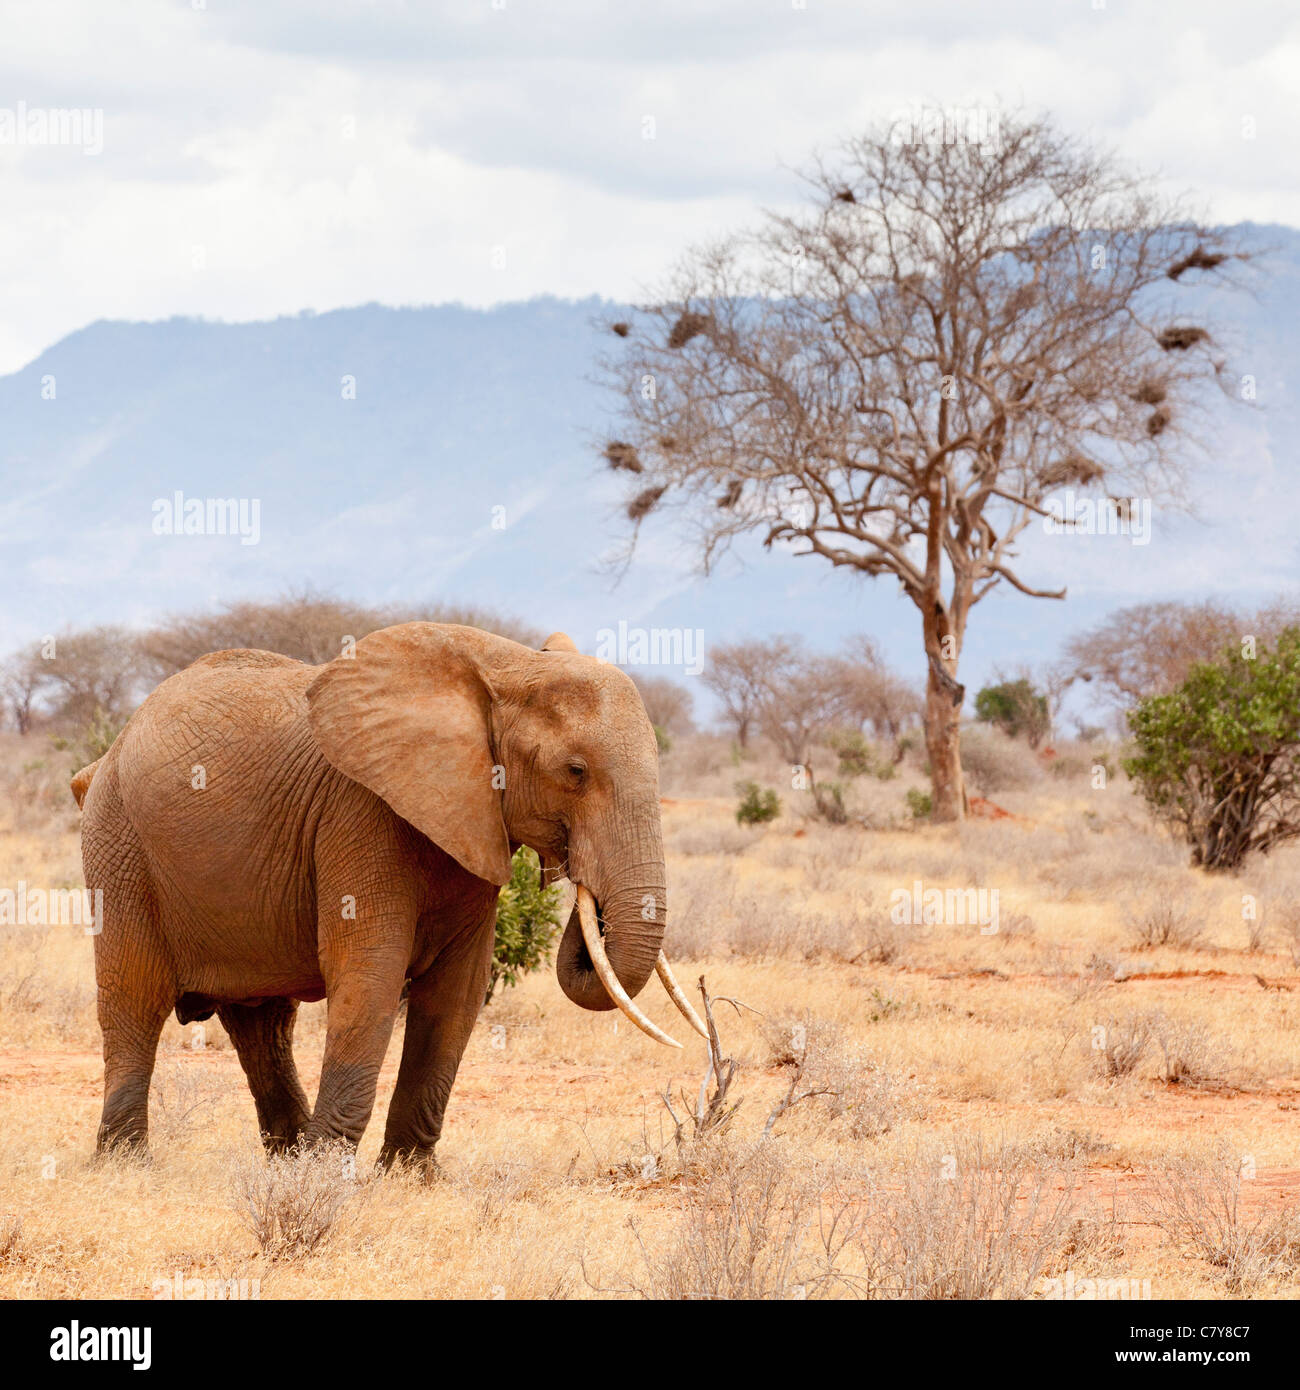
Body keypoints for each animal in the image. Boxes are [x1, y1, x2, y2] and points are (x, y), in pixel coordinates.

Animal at [73, 625, 700, 1167]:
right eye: (575, 771)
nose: (575, 879)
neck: (507, 666)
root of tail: (103, 757)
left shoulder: (472, 822)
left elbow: (457, 992)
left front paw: (408, 1175)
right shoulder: (360, 811)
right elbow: (369, 973)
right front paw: (325, 1175)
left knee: (262, 1023)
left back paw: (284, 1156)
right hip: (119, 843)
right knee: (135, 1001)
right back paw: (126, 1164)